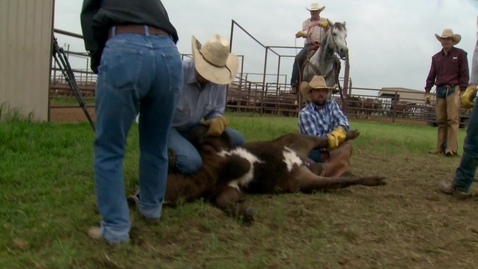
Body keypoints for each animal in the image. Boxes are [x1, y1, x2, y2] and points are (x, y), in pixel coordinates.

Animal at [134, 125, 384, 222]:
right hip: (305, 182)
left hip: (296, 139)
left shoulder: (215, 146)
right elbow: (225, 202)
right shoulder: (226, 191)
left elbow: (201, 134)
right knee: (340, 179)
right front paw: (247, 212)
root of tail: (301, 160)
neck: (207, 172)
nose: (134, 195)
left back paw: (347, 135)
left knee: (323, 140)